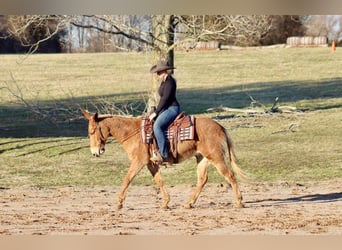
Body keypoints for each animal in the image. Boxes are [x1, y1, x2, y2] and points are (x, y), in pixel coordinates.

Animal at [81, 109, 244, 209]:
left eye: (92, 131)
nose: (95, 152)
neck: (133, 133)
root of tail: (220, 126)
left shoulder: (138, 162)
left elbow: (127, 179)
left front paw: (119, 203)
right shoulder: (151, 164)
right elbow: (159, 181)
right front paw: (165, 202)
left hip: (216, 158)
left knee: (230, 175)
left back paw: (239, 202)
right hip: (202, 158)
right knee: (202, 180)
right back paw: (189, 203)